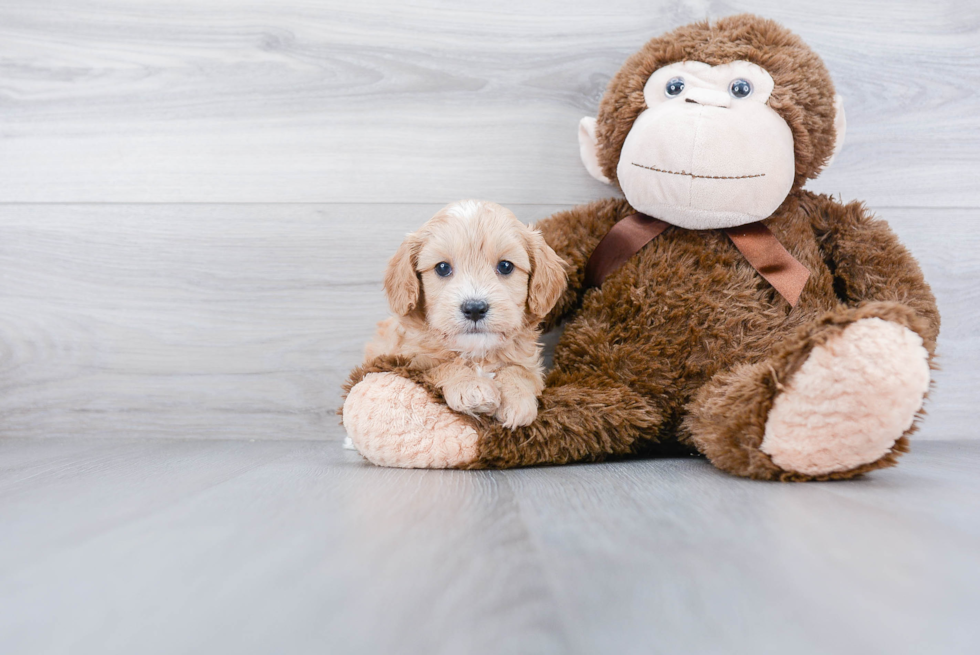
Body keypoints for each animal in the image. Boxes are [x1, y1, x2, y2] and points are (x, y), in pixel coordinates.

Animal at [366, 200, 568, 430]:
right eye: (442, 267)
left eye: (505, 266)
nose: (474, 308)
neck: (477, 353)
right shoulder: (408, 361)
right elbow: (440, 366)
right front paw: (470, 386)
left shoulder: (531, 364)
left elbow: (520, 371)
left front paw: (518, 398)